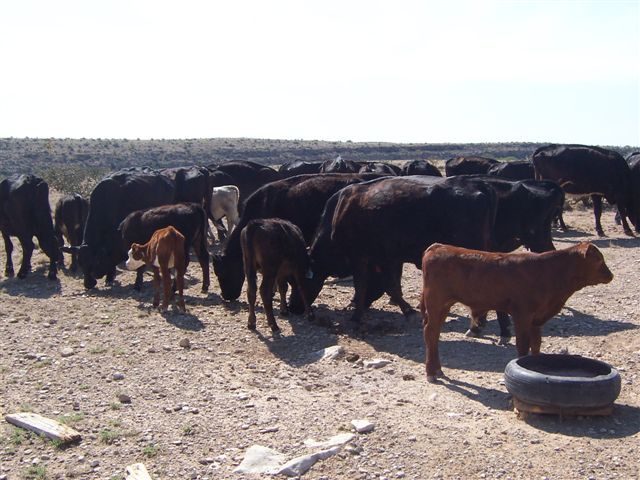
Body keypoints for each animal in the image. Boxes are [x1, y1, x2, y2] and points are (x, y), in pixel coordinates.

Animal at [292, 174, 498, 324]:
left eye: (299, 281)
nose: (293, 307)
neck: (337, 215)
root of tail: (477, 184)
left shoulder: (359, 257)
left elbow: (366, 284)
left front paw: (357, 316)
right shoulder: (390, 258)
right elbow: (392, 285)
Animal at [420, 244, 616, 382]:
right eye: (599, 259)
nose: (611, 276)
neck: (548, 271)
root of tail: (438, 246)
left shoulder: (536, 319)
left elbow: (536, 345)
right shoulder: (522, 315)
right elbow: (523, 346)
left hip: (444, 306)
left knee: (434, 334)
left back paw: (438, 369)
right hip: (436, 302)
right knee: (430, 332)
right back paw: (431, 372)